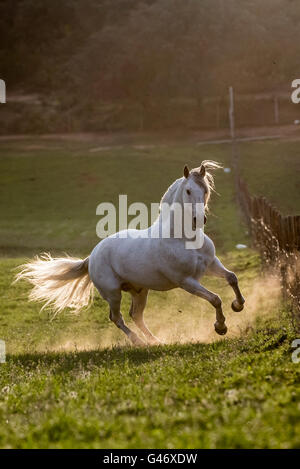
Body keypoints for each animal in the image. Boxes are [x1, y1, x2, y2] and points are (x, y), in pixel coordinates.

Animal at [15, 161, 244, 344]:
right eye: (188, 191)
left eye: (204, 190)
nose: (199, 219)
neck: (183, 239)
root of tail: (92, 256)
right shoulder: (186, 281)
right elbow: (215, 299)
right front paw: (221, 327)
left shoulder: (211, 264)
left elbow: (232, 278)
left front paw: (238, 305)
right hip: (113, 293)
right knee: (117, 318)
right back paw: (139, 342)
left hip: (140, 290)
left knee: (136, 315)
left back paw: (156, 341)